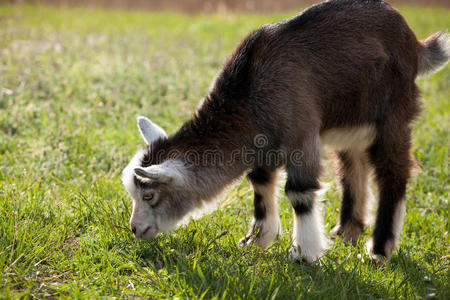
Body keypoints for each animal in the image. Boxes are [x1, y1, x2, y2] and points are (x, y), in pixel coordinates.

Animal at [121, 0, 448, 262]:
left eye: (149, 195)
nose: (135, 229)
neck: (250, 95)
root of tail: (414, 43)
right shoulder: (263, 144)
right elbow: (260, 183)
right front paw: (256, 241)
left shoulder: (301, 136)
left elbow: (299, 192)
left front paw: (304, 254)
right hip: (350, 125)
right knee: (353, 168)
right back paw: (346, 233)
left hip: (394, 114)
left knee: (392, 172)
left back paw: (379, 250)